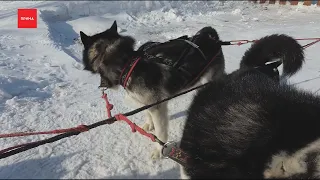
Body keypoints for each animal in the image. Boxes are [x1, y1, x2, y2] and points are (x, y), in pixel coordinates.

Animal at [79, 20, 225, 159]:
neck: (127, 65)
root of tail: (211, 35)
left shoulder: (158, 108)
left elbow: (160, 134)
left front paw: (159, 150)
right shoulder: (147, 103)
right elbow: (148, 113)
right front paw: (149, 125)